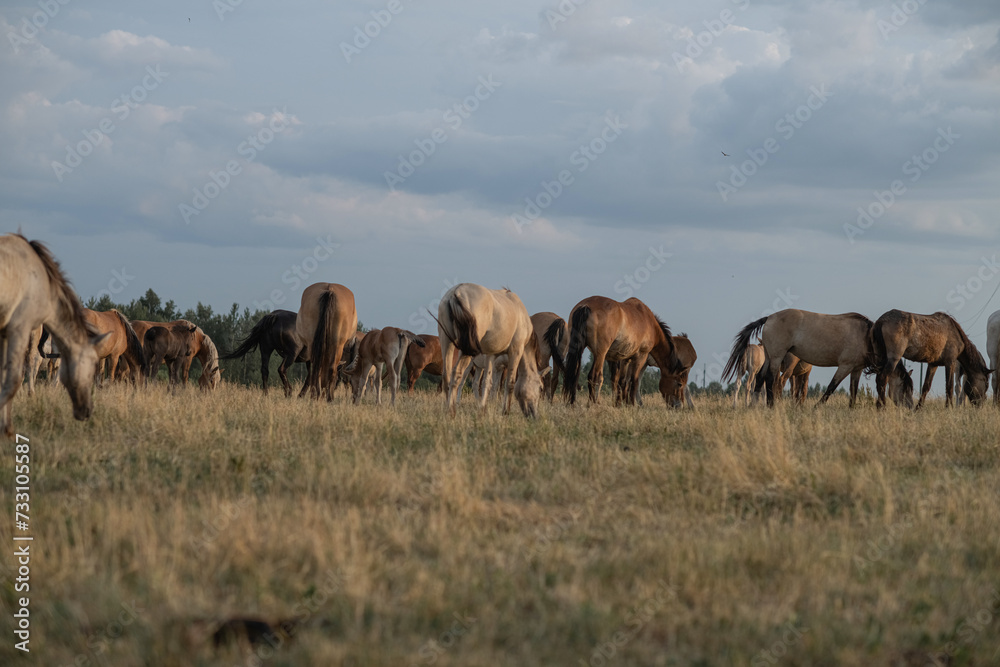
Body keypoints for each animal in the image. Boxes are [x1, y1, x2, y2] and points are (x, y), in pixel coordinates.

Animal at [438, 284, 544, 418]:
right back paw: (452, 411)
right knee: (457, 374)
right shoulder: (516, 351)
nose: (535, 416)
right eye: (540, 388)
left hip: (447, 342)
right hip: (466, 353)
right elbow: (510, 383)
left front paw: (483, 409)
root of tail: (456, 293)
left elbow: (487, 383)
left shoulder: (491, 355)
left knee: (446, 375)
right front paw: (505, 412)